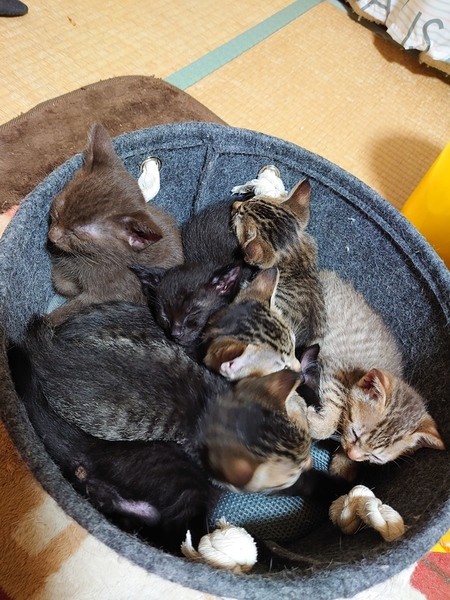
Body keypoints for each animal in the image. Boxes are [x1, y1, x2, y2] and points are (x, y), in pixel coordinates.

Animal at [46, 123, 183, 325]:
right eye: (57, 211)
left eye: (78, 234)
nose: (52, 236)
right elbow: (59, 281)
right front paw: (70, 288)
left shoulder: (110, 292)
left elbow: (74, 308)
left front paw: (49, 319)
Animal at [306, 270, 445, 479]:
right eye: (355, 432)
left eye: (375, 457)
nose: (353, 455)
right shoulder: (335, 371)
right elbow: (333, 411)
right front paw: (317, 425)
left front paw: (344, 467)